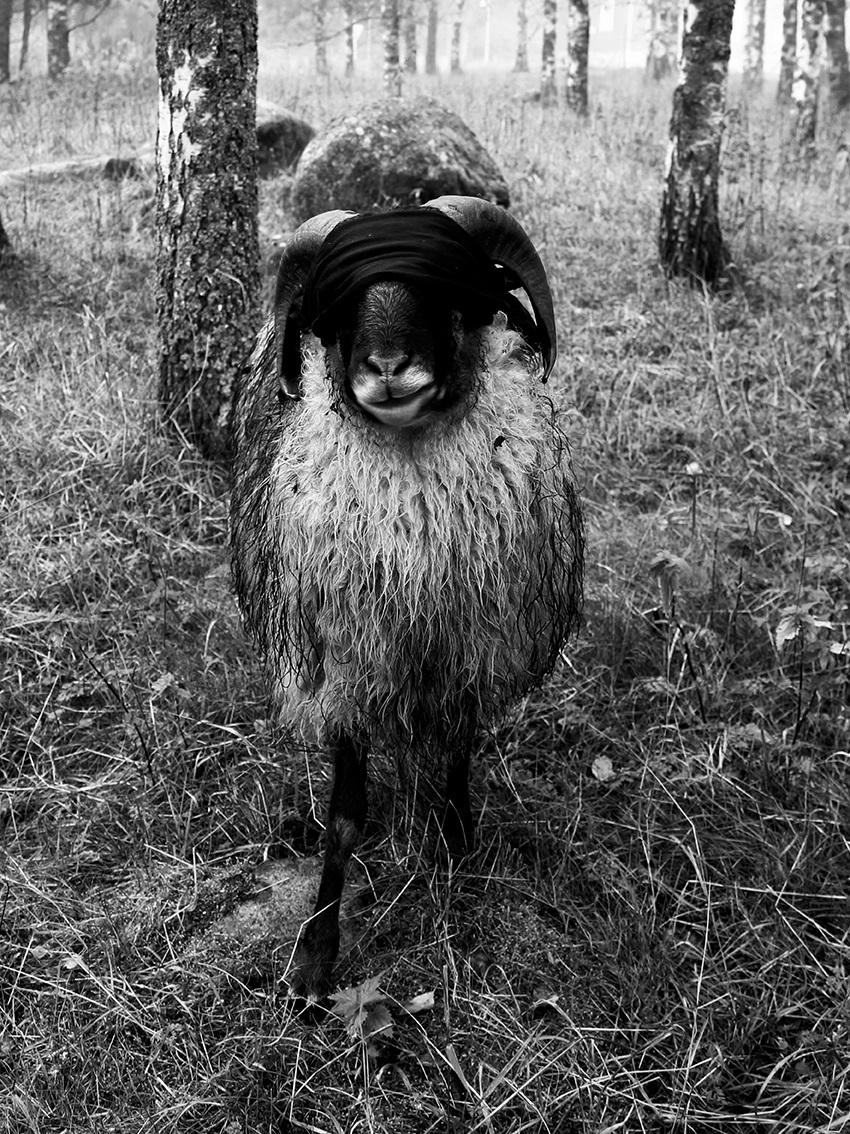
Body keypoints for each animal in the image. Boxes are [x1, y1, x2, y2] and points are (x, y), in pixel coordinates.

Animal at [229, 195, 584, 996]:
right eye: (336, 312)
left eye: (446, 293)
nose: (389, 368)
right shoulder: (347, 669)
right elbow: (345, 817)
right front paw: (313, 962)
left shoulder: (469, 652)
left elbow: (457, 766)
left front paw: (459, 859)